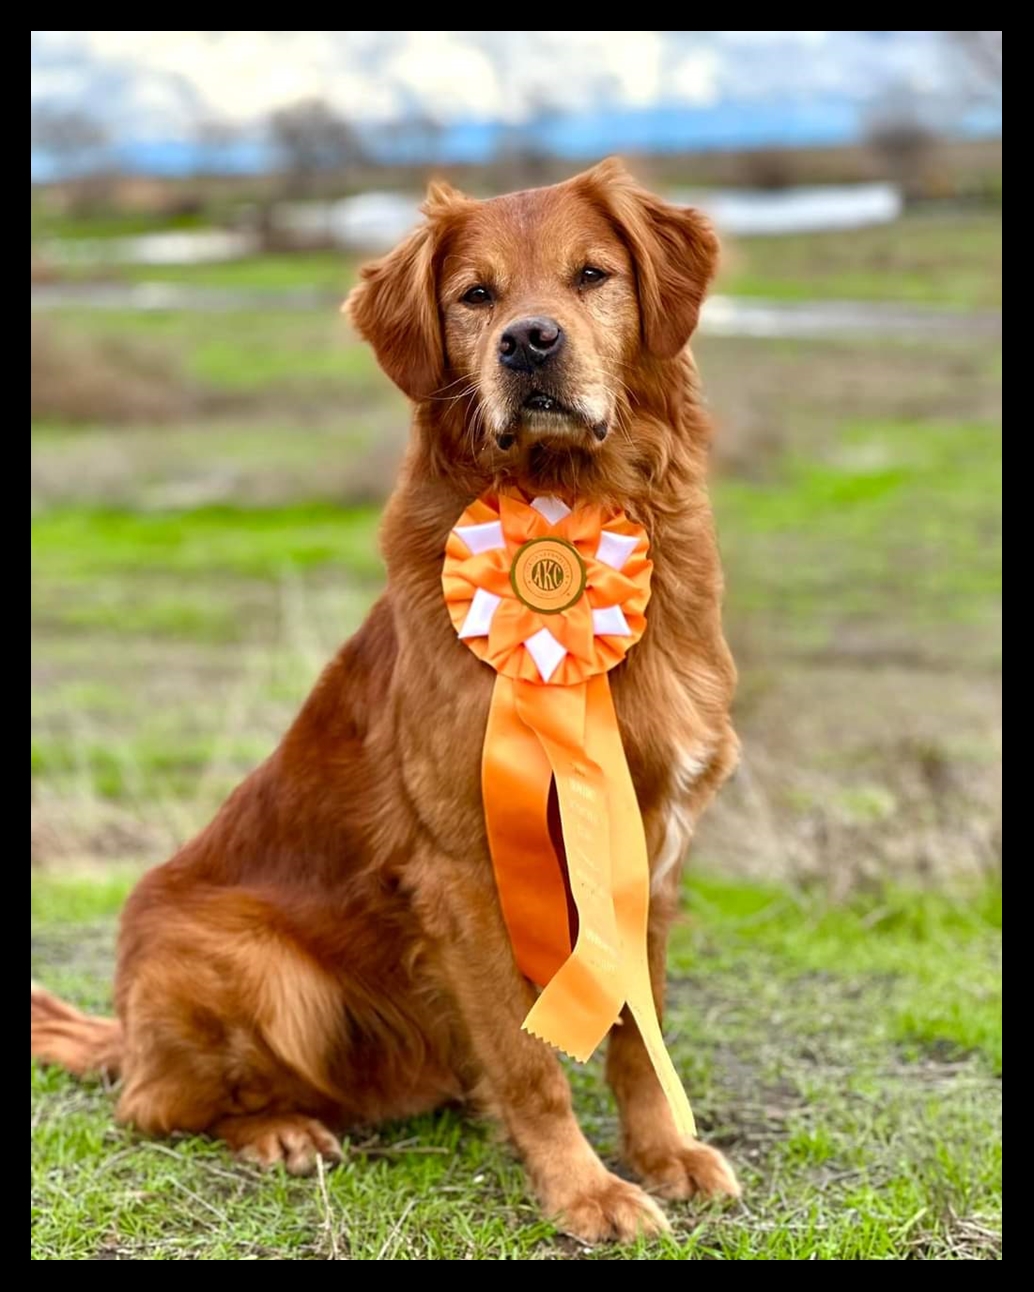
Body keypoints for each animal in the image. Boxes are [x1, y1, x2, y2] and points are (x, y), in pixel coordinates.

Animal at [32, 161, 744, 1240]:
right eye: (475, 295)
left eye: (591, 275)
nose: (528, 341)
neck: (566, 503)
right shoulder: (463, 862)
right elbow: (530, 1064)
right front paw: (582, 1188)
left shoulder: (651, 837)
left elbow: (635, 1030)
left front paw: (660, 1153)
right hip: (260, 967)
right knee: (151, 1104)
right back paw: (280, 1130)